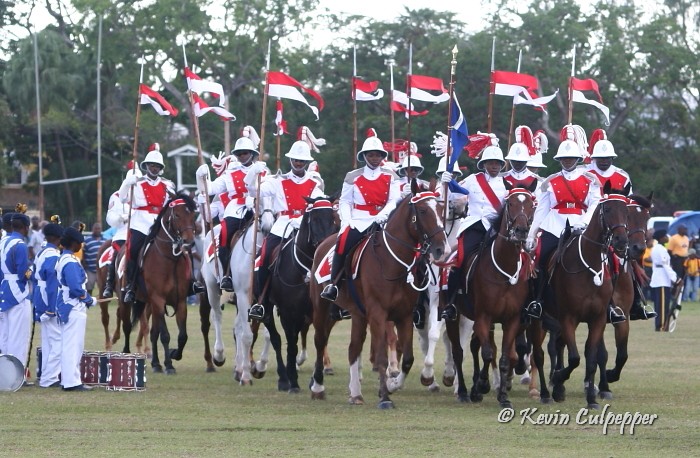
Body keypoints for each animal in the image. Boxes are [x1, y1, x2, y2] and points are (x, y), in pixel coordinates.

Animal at [120, 191, 197, 374]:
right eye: (177, 215)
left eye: (193, 215)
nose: (189, 242)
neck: (169, 259)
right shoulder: (159, 300)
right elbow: (165, 335)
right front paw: (169, 365)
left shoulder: (180, 302)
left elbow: (182, 336)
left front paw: (174, 355)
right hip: (127, 301)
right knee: (127, 327)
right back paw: (126, 355)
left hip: (148, 304)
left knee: (152, 332)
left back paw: (155, 363)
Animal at [198, 199, 274, 384]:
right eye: (259, 201)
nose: (267, 227)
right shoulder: (242, 295)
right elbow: (247, 335)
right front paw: (246, 375)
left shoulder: (266, 301)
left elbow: (266, 334)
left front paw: (259, 367)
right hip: (211, 289)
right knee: (217, 317)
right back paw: (219, 356)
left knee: (237, 327)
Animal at [310, 185, 448, 408]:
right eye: (423, 211)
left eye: (441, 209)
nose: (441, 249)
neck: (392, 262)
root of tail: (324, 243)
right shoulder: (378, 313)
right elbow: (382, 357)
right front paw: (385, 397)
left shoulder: (404, 316)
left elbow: (408, 358)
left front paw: (392, 384)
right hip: (322, 308)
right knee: (321, 341)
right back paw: (318, 387)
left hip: (357, 314)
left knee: (353, 347)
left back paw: (355, 393)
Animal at [446, 181, 540, 406]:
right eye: (511, 203)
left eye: (531, 204)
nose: (520, 231)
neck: (504, 267)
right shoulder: (483, 317)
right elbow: (488, 353)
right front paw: (481, 386)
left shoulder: (511, 319)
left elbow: (505, 357)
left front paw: (503, 396)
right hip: (454, 317)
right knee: (459, 352)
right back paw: (464, 391)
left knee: (474, 346)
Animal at [532, 182, 632, 408]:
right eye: (608, 209)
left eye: (626, 210)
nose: (621, 241)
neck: (588, 266)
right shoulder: (569, 317)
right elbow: (575, 358)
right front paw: (558, 378)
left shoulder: (598, 318)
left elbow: (592, 358)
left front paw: (592, 399)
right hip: (538, 321)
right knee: (539, 355)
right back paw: (545, 392)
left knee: (557, 346)